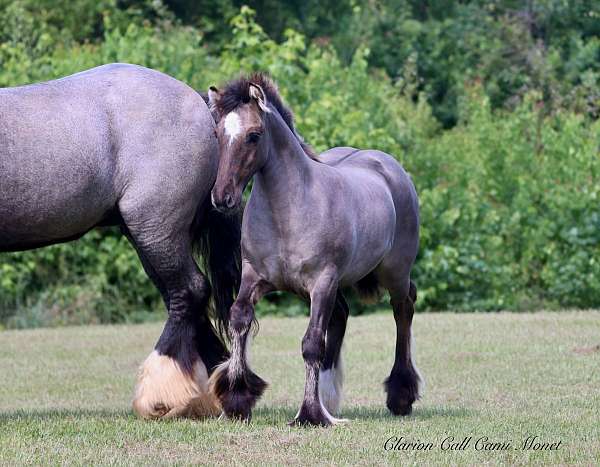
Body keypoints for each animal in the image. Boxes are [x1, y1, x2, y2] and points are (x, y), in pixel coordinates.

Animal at [0, 63, 239, 420]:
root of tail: (198, 104)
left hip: (155, 229)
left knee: (189, 292)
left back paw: (161, 396)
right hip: (151, 238)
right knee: (185, 300)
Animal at [206, 75, 422, 430]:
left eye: (254, 135)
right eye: (217, 134)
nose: (222, 197)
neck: (289, 209)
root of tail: (391, 168)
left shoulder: (321, 282)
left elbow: (310, 344)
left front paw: (310, 413)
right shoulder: (254, 277)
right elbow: (239, 318)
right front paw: (237, 399)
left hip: (394, 273)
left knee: (403, 310)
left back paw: (401, 394)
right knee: (342, 315)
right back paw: (331, 397)